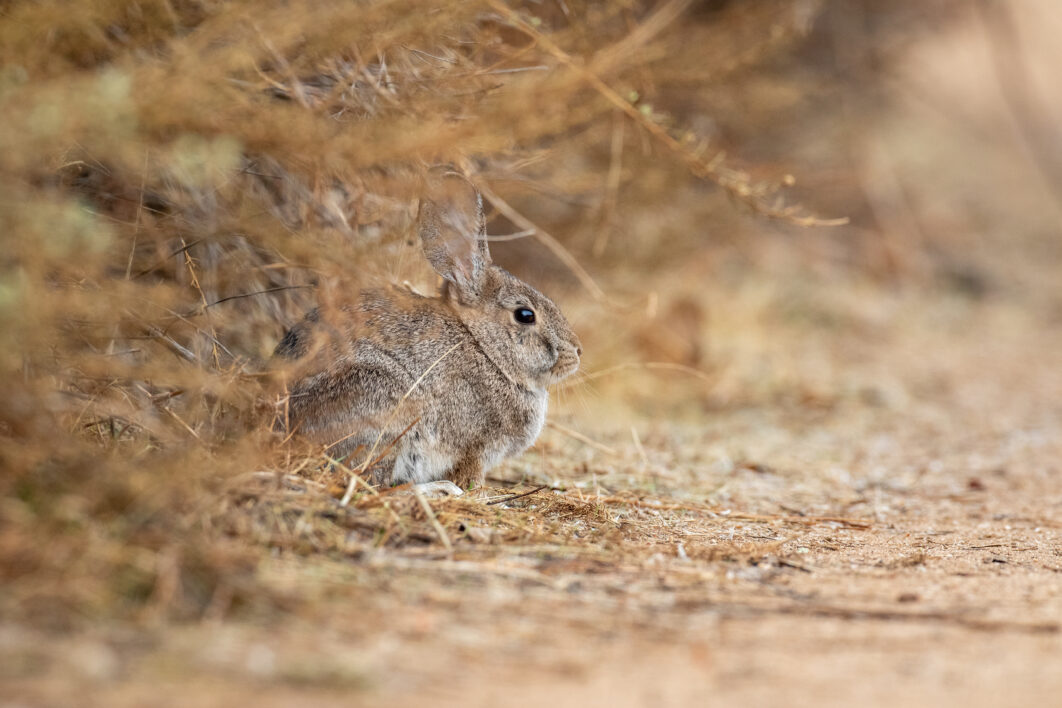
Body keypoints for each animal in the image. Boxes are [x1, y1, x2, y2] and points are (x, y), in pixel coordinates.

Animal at [271, 170, 581, 492]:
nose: (576, 352)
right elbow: (469, 474)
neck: (485, 348)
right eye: (525, 315)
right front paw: (475, 491)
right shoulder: (475, 447)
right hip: (385, 409)